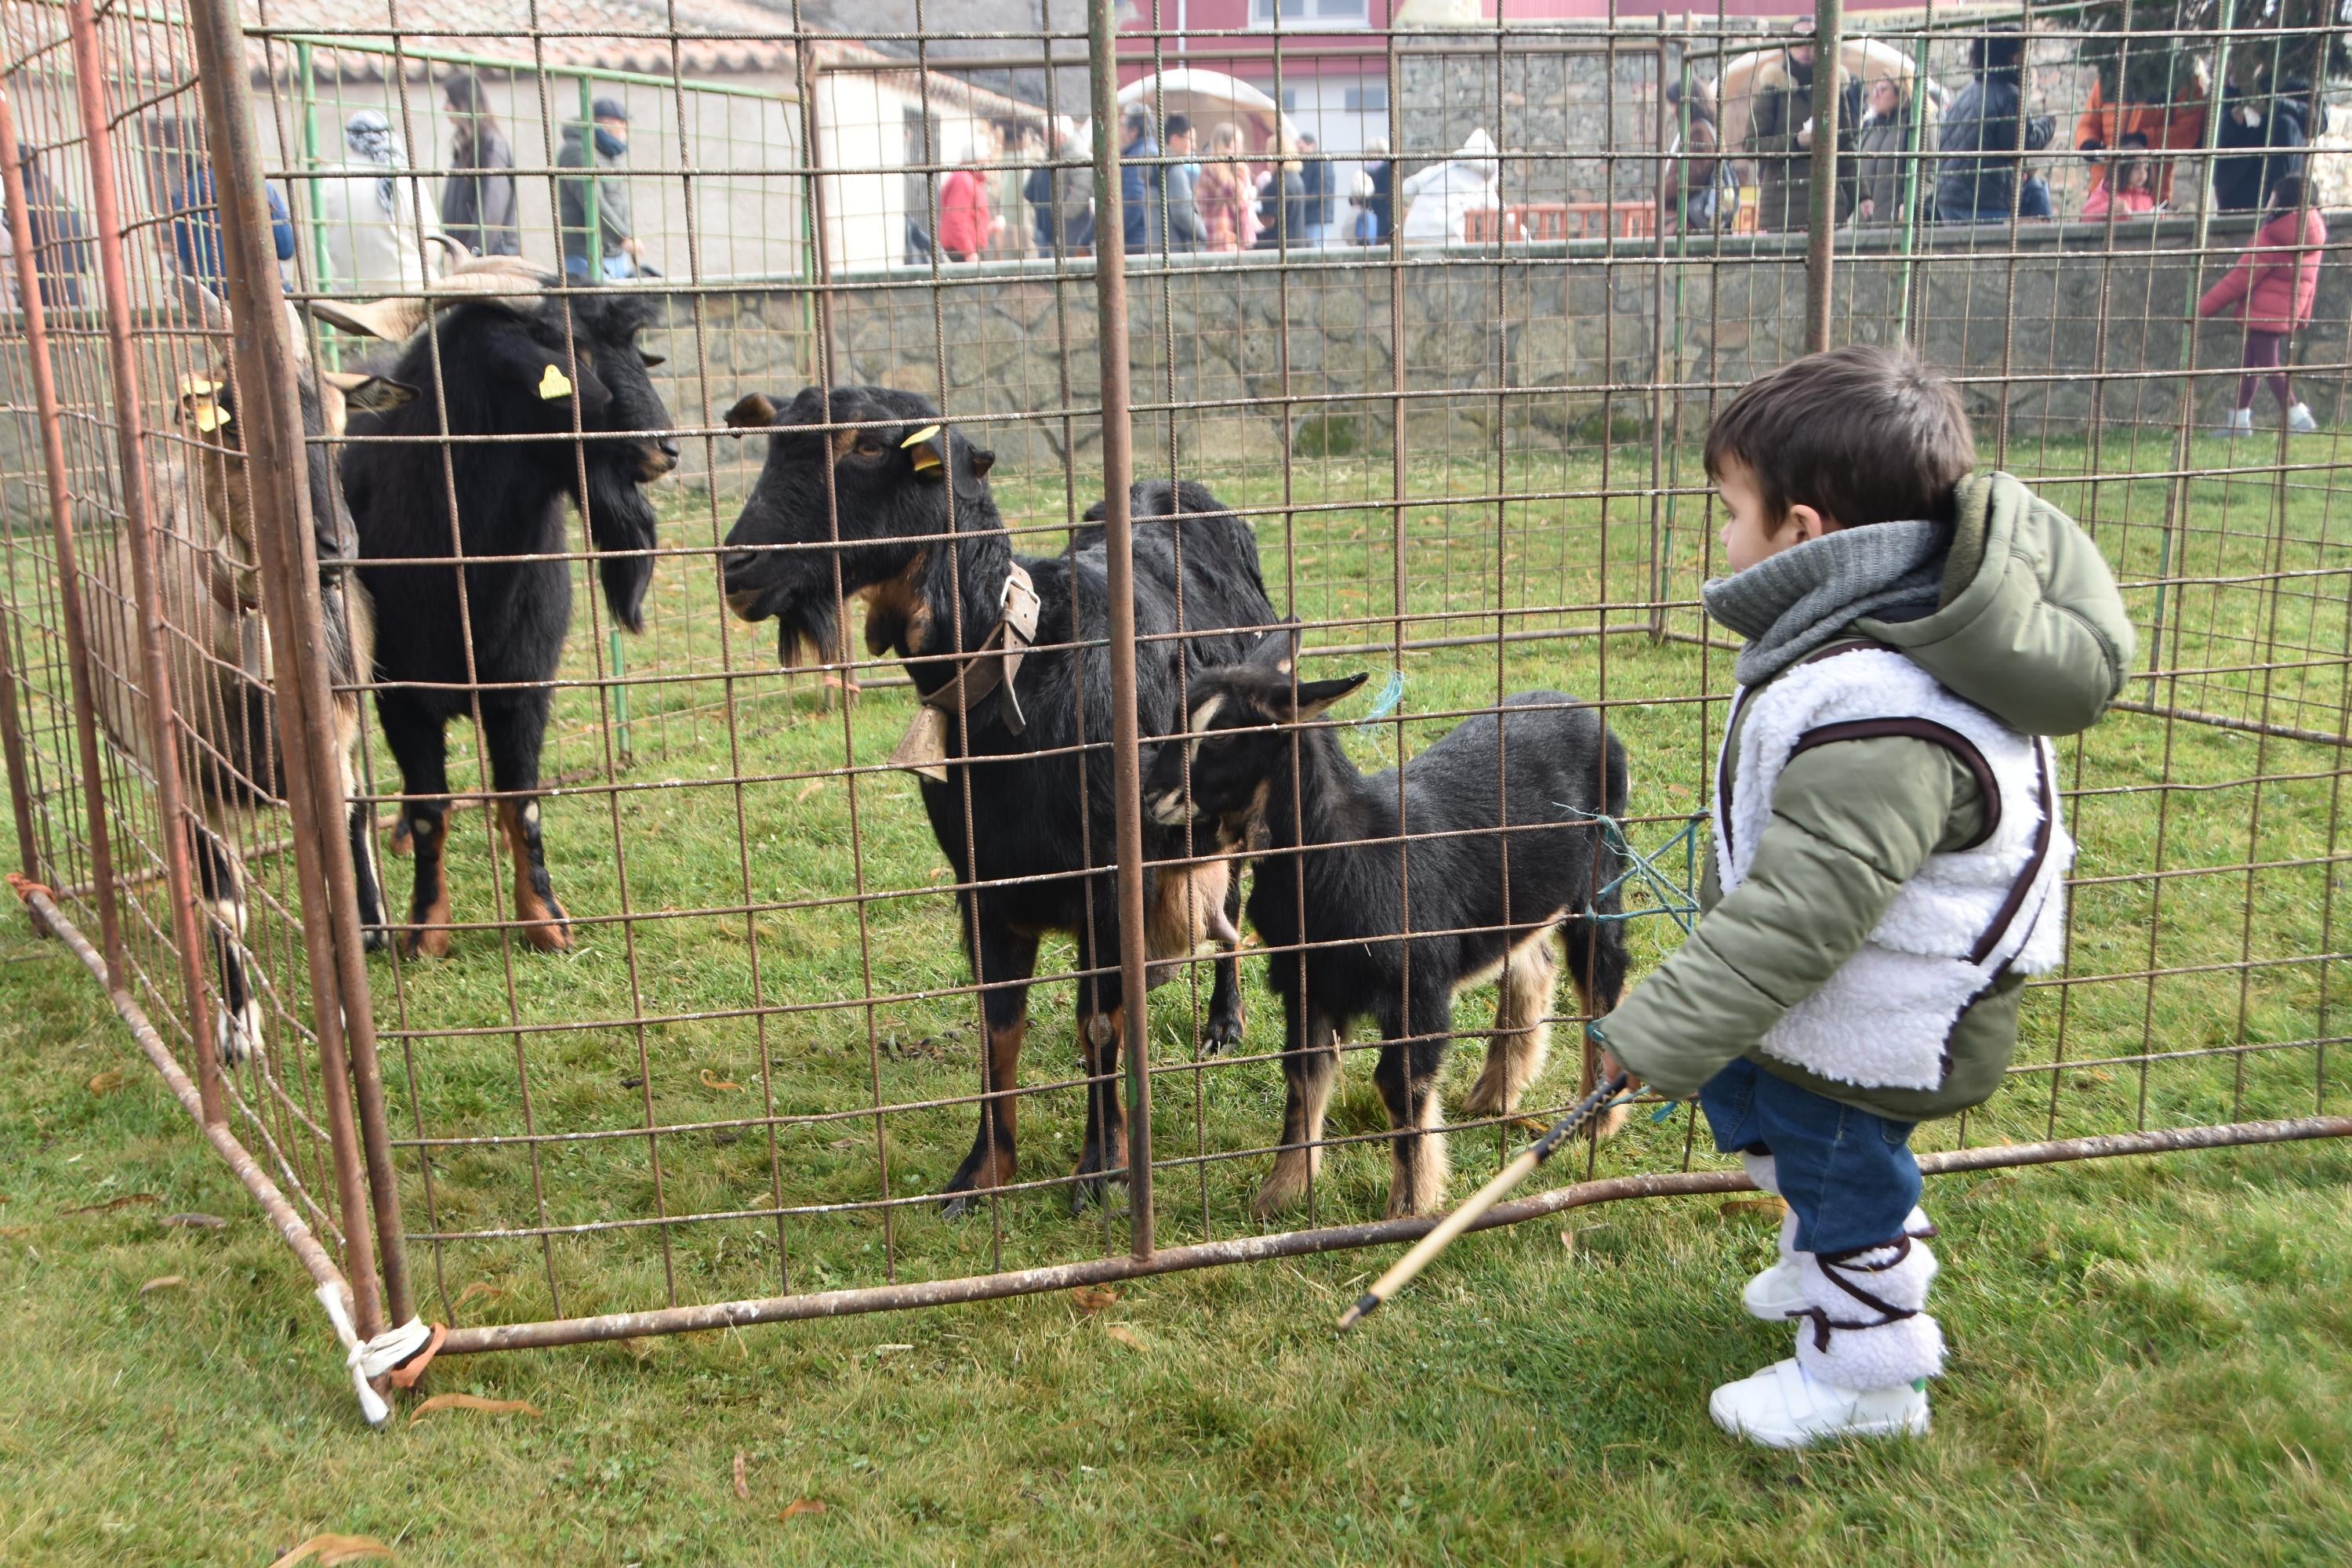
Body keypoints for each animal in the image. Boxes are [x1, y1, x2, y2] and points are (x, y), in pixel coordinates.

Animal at [346, 278, 682, 959]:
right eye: (564, 346)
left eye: (633, 348)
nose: (665, 448)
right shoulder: (402, 695)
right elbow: (433, 810)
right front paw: (424, 931)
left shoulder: (526, 687)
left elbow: (521, 802)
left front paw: (547, 921)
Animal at [720, 390, 1279, 1213]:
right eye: (773, 445)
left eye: (865, 448)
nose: (738, 564)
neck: (1025, 667)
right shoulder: (982, 885)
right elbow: (998, 1027)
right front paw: (980, 1173)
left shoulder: (1107, 880)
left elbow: (1097, 1022)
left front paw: (1099, 1167)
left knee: (1234, 895)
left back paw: (1224, 1021)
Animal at [1143, 630, 1637, 1222]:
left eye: (1222, 738)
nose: (1150, 797)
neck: (1348, 854)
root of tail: (1584, 711)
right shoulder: (1308, 983)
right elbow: (1303, 1078)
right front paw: (1279, 1198)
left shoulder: (1417, 988)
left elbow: (1399, 1085)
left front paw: (1411, 1203)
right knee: (1530, 968)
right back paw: (1493, 1095)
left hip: (1602, 878)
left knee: (1602, 980)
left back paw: (1599, 1119)